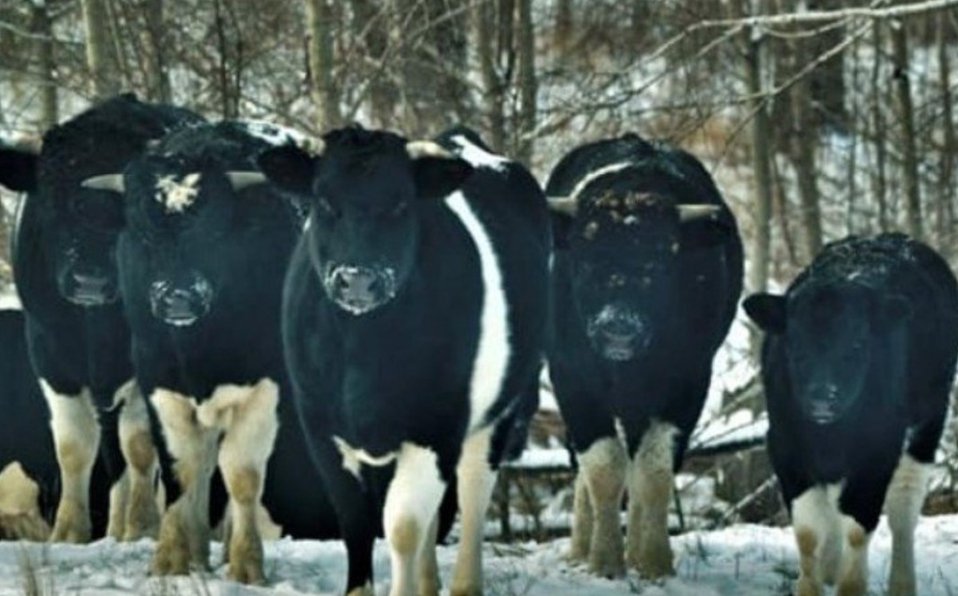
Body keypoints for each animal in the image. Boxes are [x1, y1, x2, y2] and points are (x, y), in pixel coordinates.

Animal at [0, 95, 203, 543]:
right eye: (50, 195)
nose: (89, 278)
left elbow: (140, 444)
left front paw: (142, 525)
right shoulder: (49, 352)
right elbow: (74, 446)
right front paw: (69, 531)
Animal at [80, 120, 338, 583]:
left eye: (215, 233)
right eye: (141, 232)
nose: (177, 296)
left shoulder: (265, 390)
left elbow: (242, 476)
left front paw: (246, 563)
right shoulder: (160, 384)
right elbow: (180, 471)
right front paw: (172, 558)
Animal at [256, 124, 550, 596]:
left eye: (400, 203)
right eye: (323, 200)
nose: (358, 278)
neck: (364, 349)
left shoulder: (436, 426)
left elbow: (403, 525)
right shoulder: (320, 427)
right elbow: (356, 523)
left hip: (499, 412)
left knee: (472, 490)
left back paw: (465, 584)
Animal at [543, 134, 743, 579]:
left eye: (659, 261)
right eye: (584, 259)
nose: (618, 325)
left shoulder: (689, 380)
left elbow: (653, 469)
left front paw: (652, 560)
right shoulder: (571, 378)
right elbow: (602, 465)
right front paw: (603, 560)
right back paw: (580, 546)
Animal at [743, 233, 958, 596]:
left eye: (857, 344)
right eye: (794, 345)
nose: (822, 397)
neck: (830, 434)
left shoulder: (878, 451)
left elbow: (858, 526)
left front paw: (851, 586)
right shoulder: (784, 445)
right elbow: (808, 533)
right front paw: (811, 587)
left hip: (928, 423)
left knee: (903, 506)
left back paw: (901, 583)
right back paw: (830, 567)